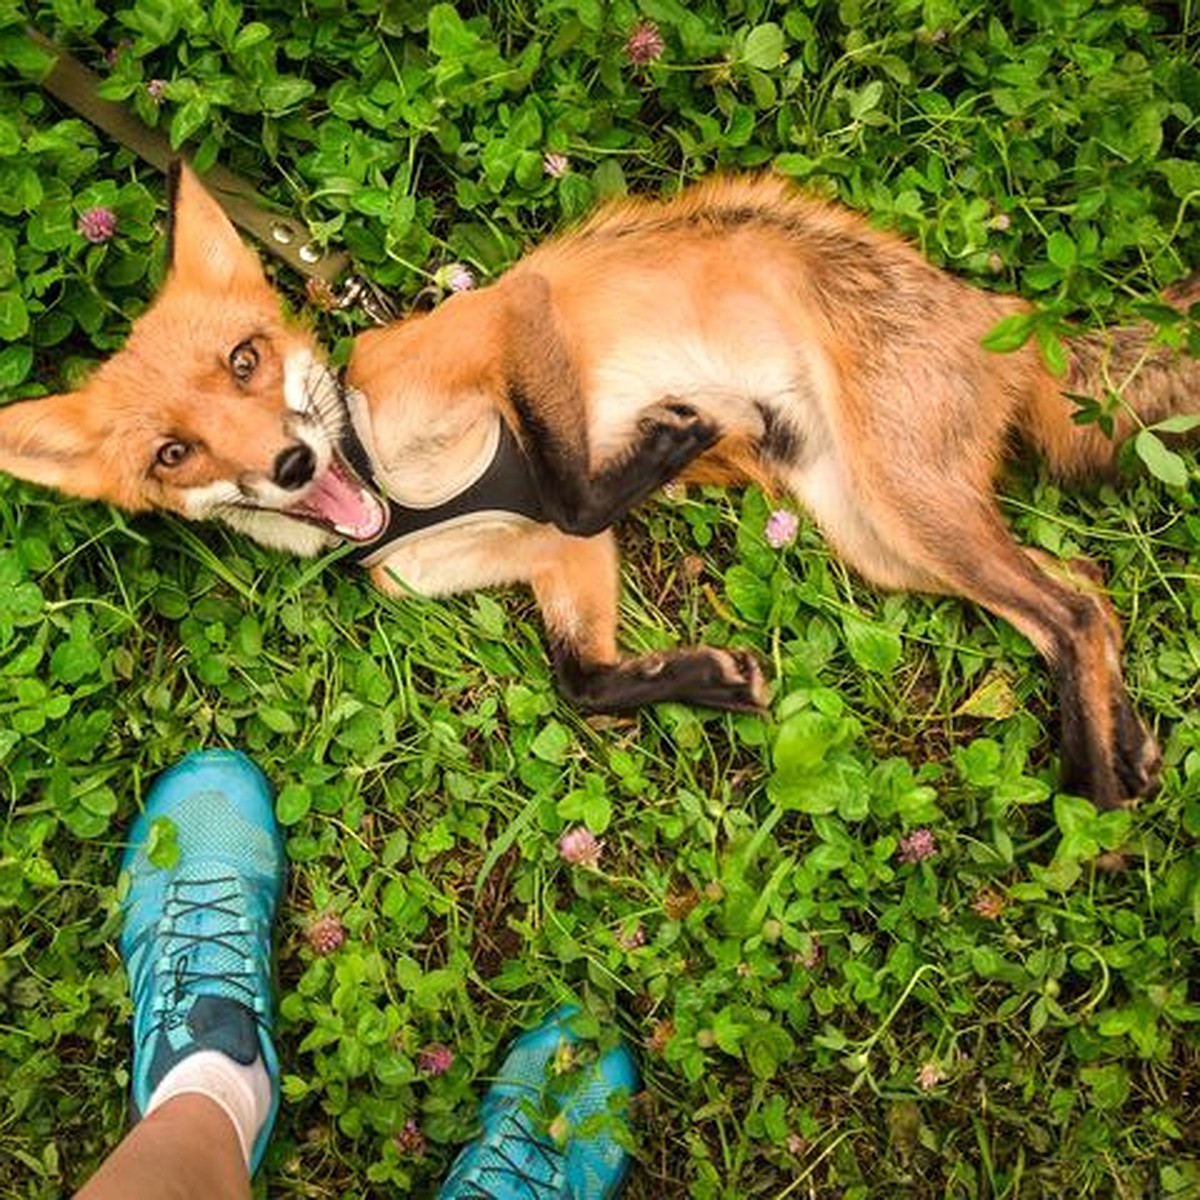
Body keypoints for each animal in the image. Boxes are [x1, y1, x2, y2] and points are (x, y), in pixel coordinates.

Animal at [2, 164, 1200, 811]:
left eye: (246, 361)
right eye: (173, 454)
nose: (292, 465)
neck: (396, 486)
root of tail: (999, 315)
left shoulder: (508, 322)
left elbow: (581, 484)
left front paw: (675, 439)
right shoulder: (552, 554)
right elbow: (581, 676)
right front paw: (706, 680)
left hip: (905, 513)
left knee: (1072, 604)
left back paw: (1095, 779)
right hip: (884, 539)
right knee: (1082, 593)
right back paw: (1123, 741)